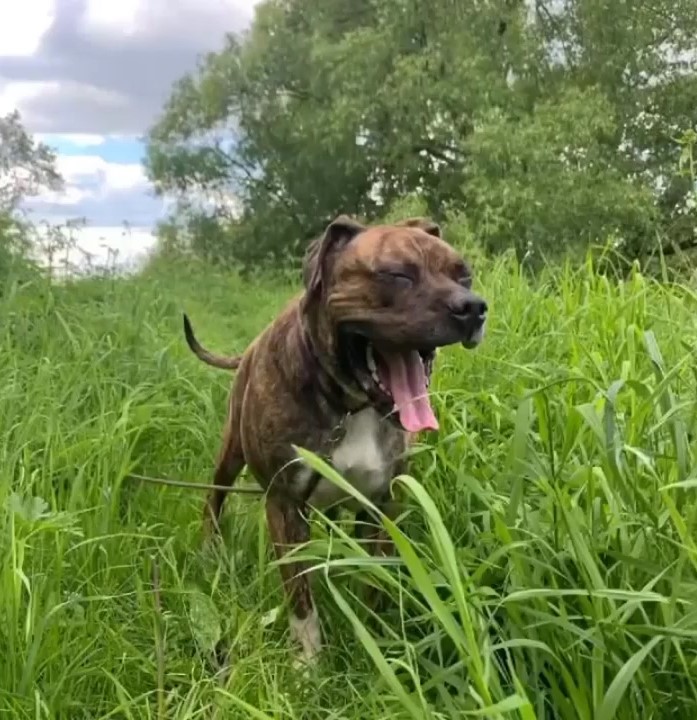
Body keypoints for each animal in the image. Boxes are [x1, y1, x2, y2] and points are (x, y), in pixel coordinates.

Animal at [182, 214, 486, 664]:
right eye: (397, 274)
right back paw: (209, 550)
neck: (350, 405)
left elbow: (375, 580)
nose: (473, 307)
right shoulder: (284, 505)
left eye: (464, 276)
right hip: (230, 454)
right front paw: (309, 663)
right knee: (214, 499)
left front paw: (375, 643)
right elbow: (300, 595)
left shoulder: (382, 503)